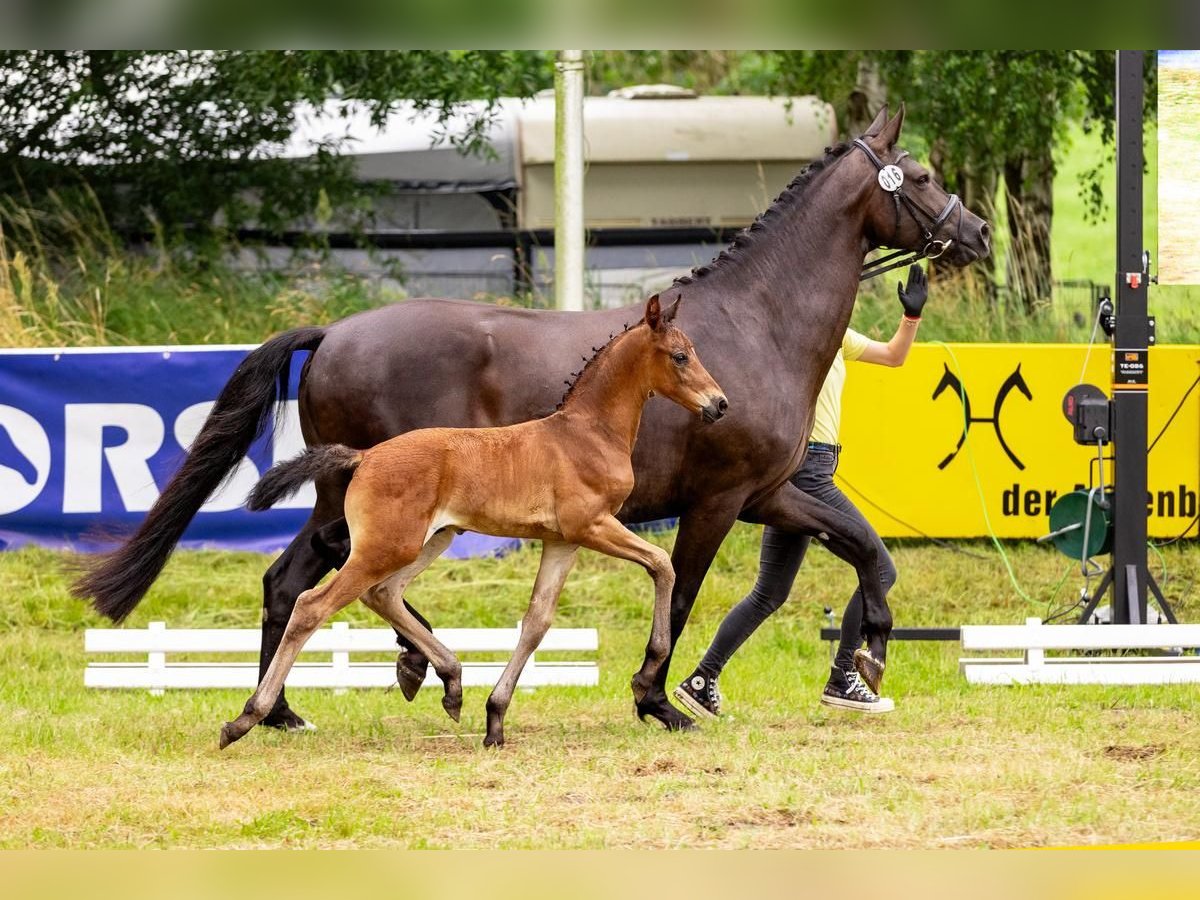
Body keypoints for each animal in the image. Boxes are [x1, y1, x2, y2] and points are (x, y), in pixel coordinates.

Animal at [220, 297, 724, 753]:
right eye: (680, 355)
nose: (719, 405)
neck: (586, 434)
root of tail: (364, 456)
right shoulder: (593, 526)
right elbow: (662, 564)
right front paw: (646, 676)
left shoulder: (562, 542)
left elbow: (537, 621)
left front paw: (495, 721)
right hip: (390, 546)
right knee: (313, 604)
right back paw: (247, 718)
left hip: (430, 540)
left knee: (382, 593)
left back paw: (451, 683)